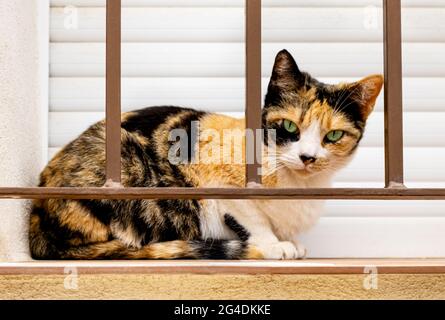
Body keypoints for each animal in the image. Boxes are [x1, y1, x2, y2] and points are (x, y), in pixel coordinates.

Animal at [28, 50, 382, 260]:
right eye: (288, 126)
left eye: (333, 135)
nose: (308, 157)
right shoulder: (215, 180)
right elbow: (253, 219)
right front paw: (274, 245)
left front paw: (289, 241)